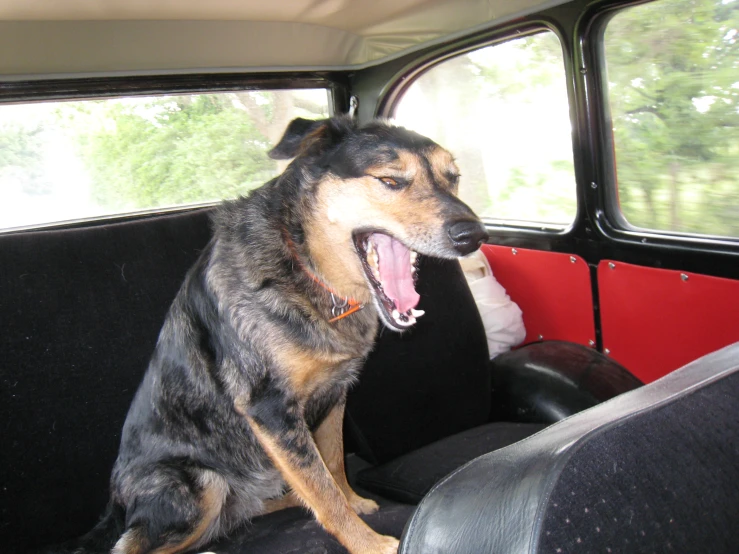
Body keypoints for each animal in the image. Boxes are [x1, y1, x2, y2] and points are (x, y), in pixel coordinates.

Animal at [68, 115, 486, 552]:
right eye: (390, 180)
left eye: (453, 178)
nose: (474, 236)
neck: (304, 265)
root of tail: (115, 510)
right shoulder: (270, 409)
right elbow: (323, 492)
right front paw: (370, 543)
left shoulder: (335, 393)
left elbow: (331, 466)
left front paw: (354, 502)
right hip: (200, 485)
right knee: (139, 543)